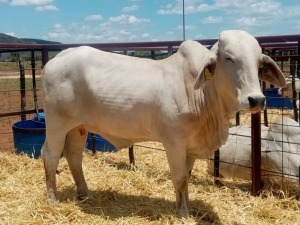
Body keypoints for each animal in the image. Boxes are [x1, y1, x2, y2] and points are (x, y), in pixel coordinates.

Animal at [41, 30, 286, 216]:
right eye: (229, 58)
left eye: (258, 62)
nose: (256, 99)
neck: (201, 94)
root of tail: (56, 59)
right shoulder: (174, 143)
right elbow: (179, 179)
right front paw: (183, 214)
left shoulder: (190, 148)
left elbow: (186, 180)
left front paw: (187, 208)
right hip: (57, 123)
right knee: (51, 155)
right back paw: (52, 199)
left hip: (77, 127)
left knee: (73, 155)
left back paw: (84, 193)